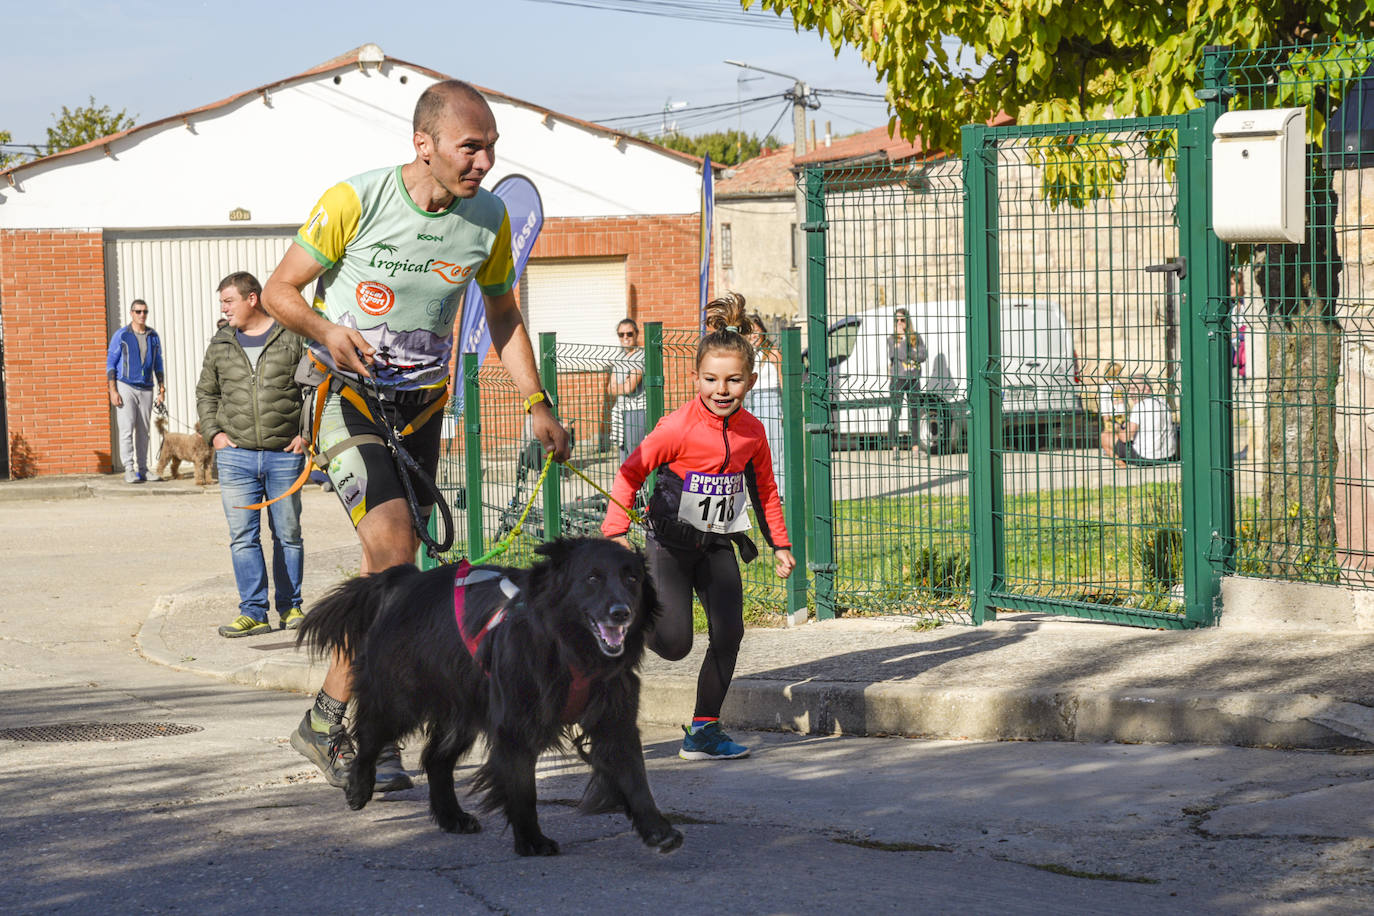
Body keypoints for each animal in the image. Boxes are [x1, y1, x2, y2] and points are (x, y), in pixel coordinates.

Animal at [302, 538, 687, 862]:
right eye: (592, 578)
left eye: (633, 579)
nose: (622, 612)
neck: (571, 648)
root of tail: (401, 581)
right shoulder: (515, 724)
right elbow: (523, 788)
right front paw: (531, 840)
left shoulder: (615, 718)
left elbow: (635, 777)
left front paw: (658, 830)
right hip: (399, 699)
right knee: (370, 738)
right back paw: (358, 787)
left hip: (464, 708)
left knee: (435, 758)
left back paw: (452, 817)